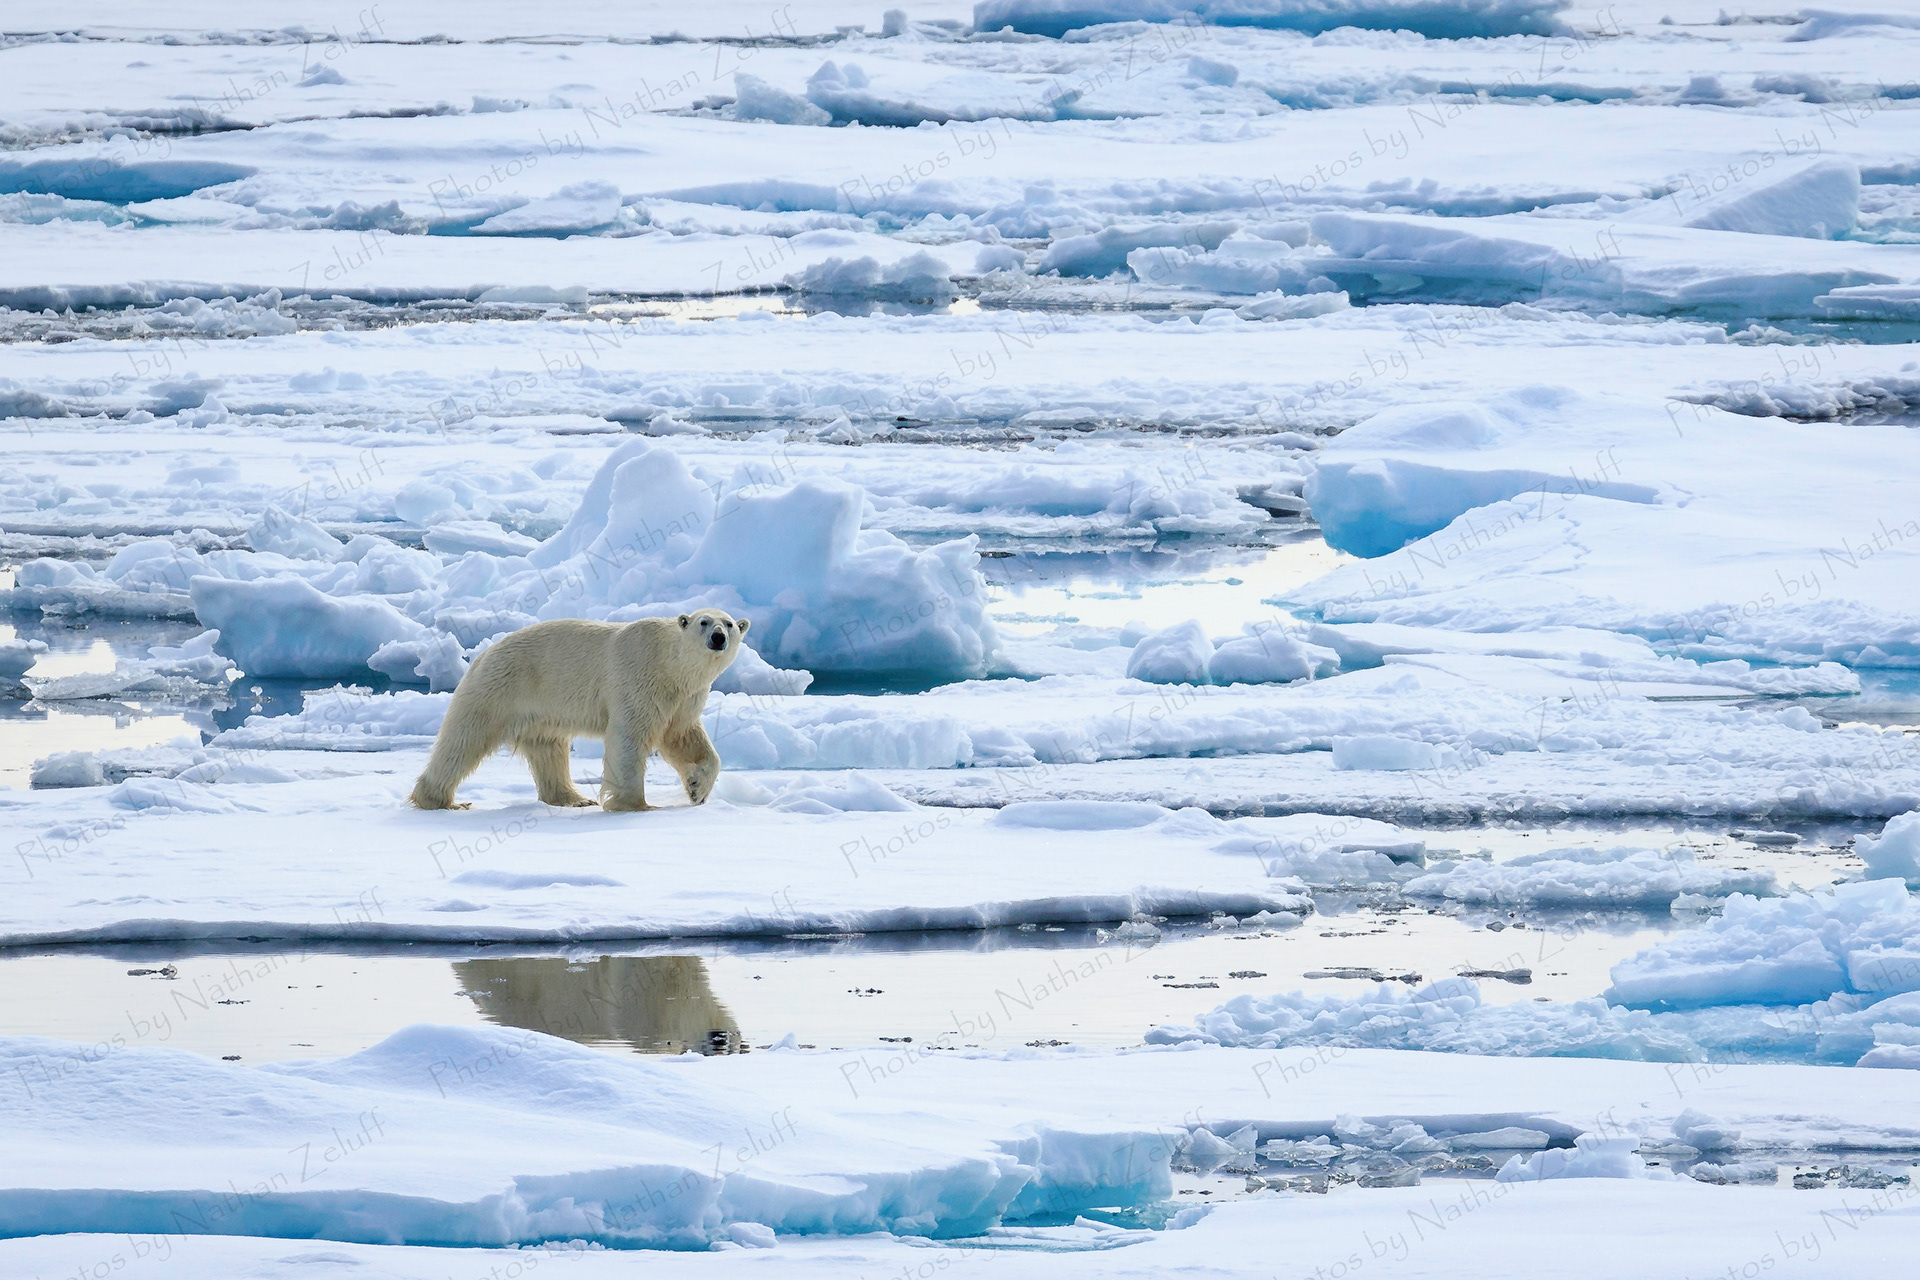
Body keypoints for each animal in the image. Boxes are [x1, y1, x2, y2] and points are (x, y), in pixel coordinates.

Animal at [409, 609, 749, 812]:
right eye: (703, 622)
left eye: (730, 624)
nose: (718, 637)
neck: (669, 663)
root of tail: (481, 654)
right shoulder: (639, 679)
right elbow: (629, 737)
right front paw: (635, 805)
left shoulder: (683, 697)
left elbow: (684, 737)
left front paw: (696, 789)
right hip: (500, 689)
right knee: (464, 740)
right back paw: (441, 801)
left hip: (539, 708)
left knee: (548, 750)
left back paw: (573, 798)